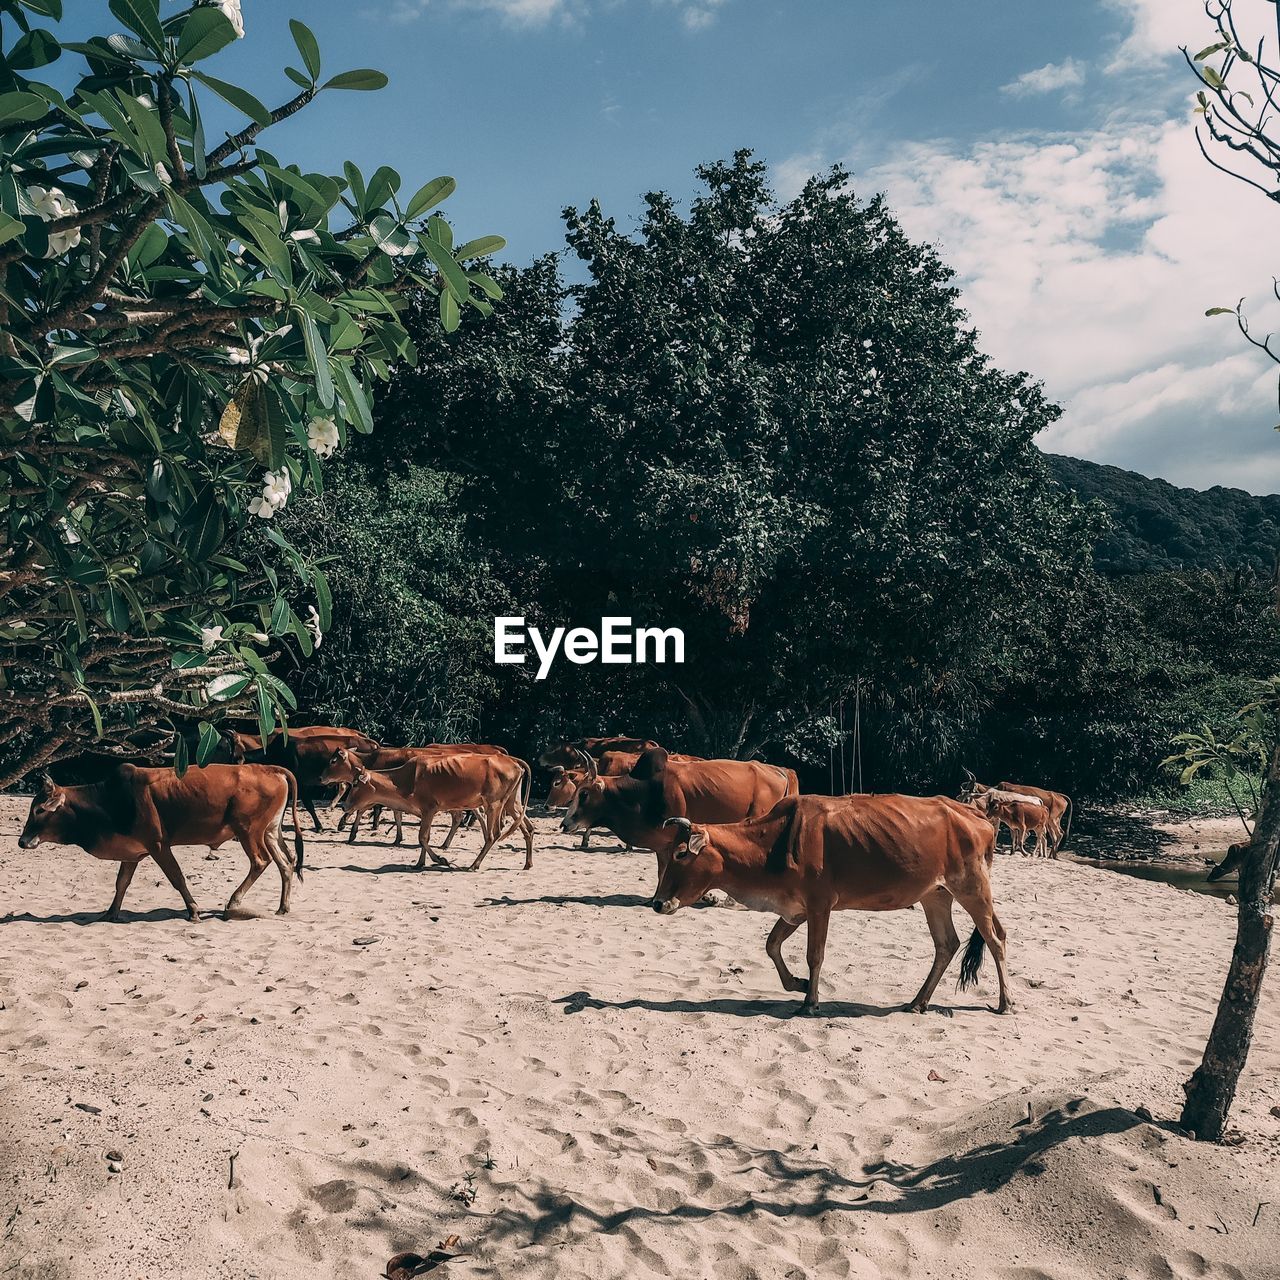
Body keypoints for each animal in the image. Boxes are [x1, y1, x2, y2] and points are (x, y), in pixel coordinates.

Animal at [18, 762, 303, 926]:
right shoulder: (131, 852)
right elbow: (121, 883)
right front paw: (110, 913)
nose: (22, 842)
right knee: (286, 862)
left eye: (40, 810)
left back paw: (233, 903)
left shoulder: (158, 846)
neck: (110, 800)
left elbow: (177, 878)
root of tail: (272, 769)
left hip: (248, 832)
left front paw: (194, 911)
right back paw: (283, 907)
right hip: (269, 831)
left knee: (261, 861)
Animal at [327, 747, 537, 875]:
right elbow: (423, 838)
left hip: (493, 804)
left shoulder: (429, 809)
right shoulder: (423, 811)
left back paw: (474, 864)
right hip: (512, 803)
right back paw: (528, 863)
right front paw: (420, 863)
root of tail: (513, 761)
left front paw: (440, 859)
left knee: (493, 835)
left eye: (355, 784)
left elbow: (422, 837)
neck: (406, 780)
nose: (344, 806)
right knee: (528, 828)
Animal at [655, 793, 1013, 1013]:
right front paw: (796, 985)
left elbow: (815, 956)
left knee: (995, 939)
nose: (658, 903)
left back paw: (1005, 1002)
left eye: (681, 853)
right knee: (946, 944)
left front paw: (810, 1002)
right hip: (935, 895)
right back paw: (917, 1002)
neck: (776, 842)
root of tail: (975, 814)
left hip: (971, 888)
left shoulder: (819, 905)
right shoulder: (796, 909)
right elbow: (772, 945)